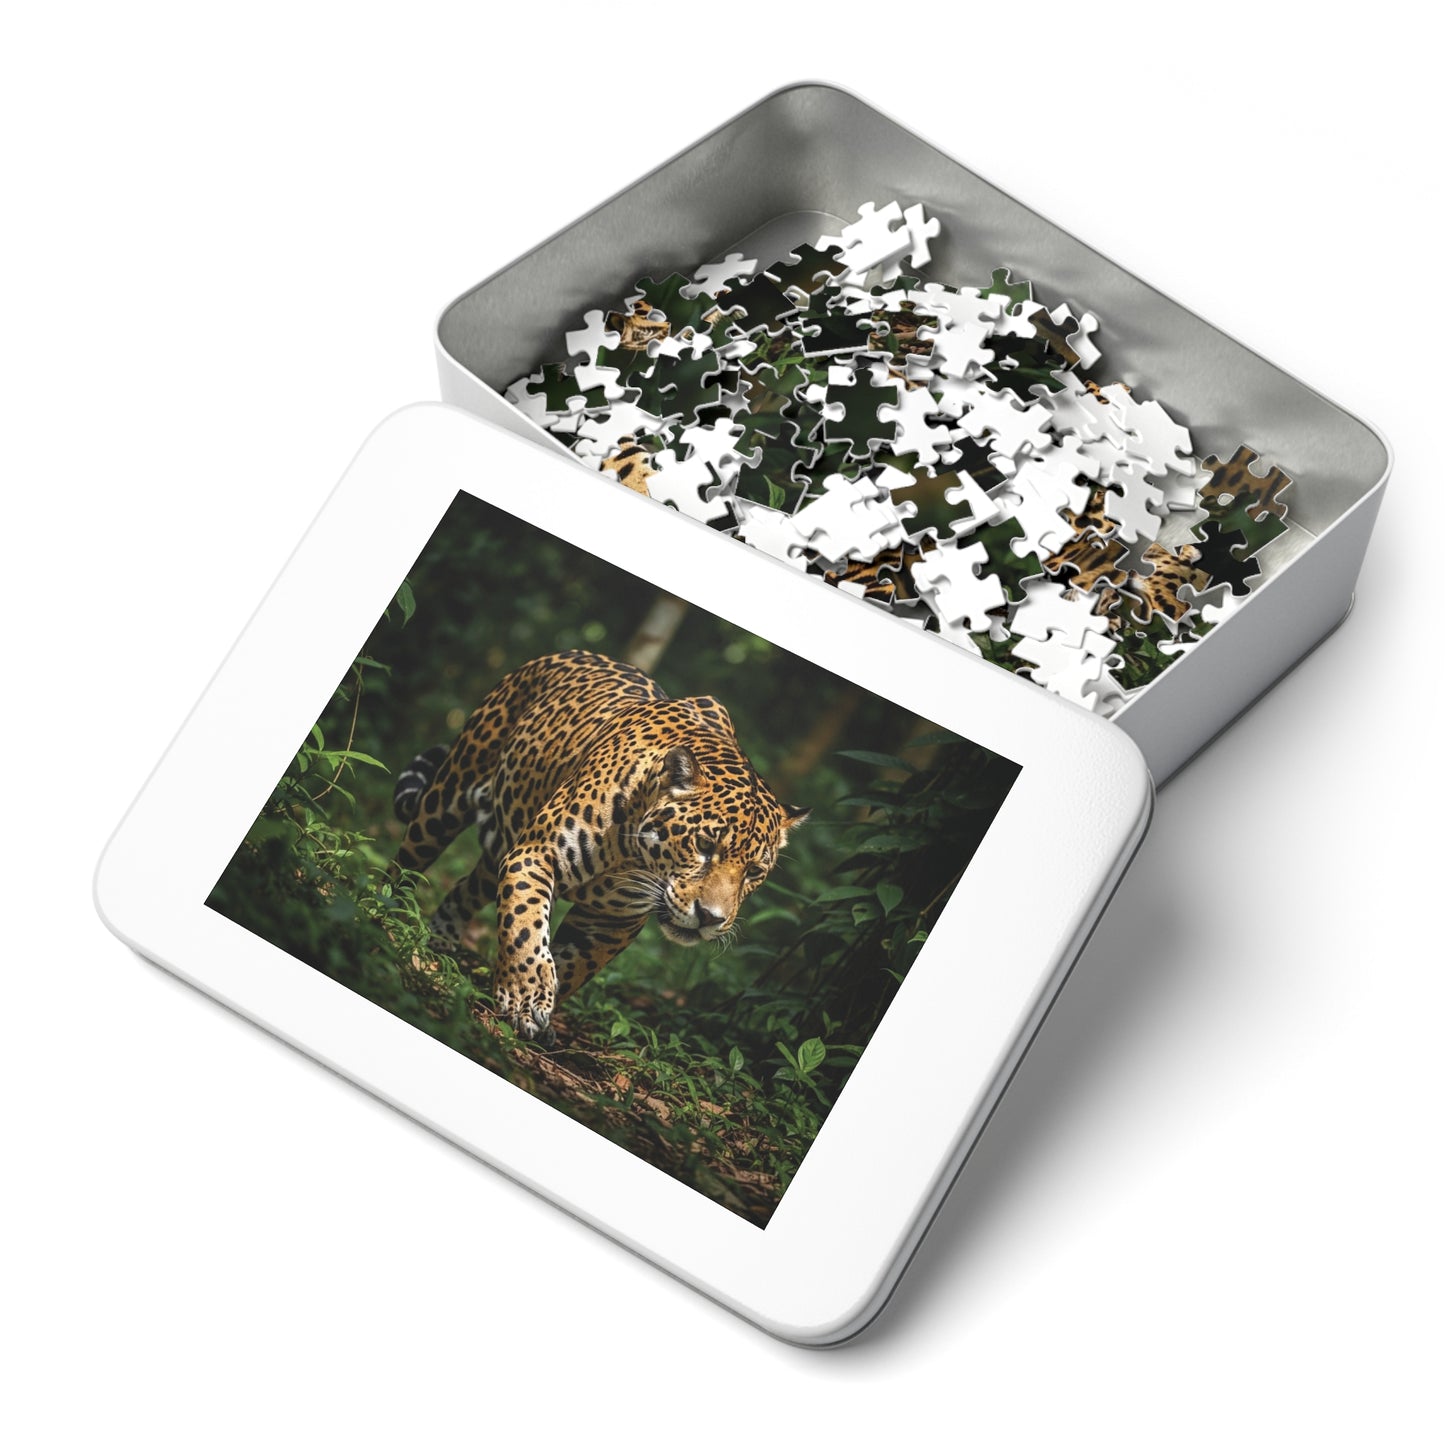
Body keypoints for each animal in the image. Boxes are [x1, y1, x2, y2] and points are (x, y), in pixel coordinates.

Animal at [391, 650, 808, 1045]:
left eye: (754, 872)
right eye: (704, 844)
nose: (710, 918)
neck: (632, 857)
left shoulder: (613, 922)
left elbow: (573, 966)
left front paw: (537, 1011)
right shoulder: (535, 853)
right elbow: (526, 925)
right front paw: (525, 998)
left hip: (500, 846)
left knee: (465, 889)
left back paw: (441, 941)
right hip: (446, 800)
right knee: (406, 865)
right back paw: (392, 920)